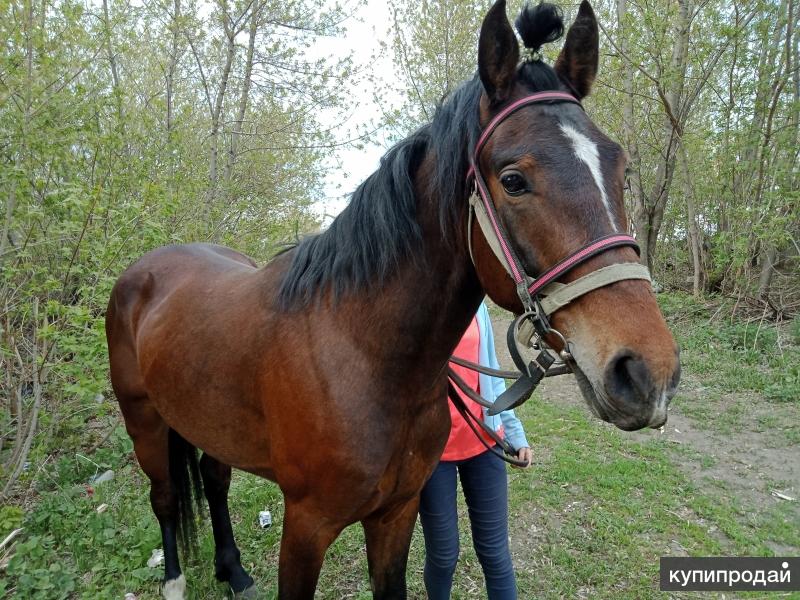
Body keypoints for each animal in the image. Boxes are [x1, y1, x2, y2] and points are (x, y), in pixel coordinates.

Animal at [106, 2, 680, 596]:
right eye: (513, 180)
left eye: (620, 168)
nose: (646, 372)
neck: (365, 356)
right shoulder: (306, 526)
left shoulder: (397, 514)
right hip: (144, 423)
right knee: (165, 497)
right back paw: (175, 579)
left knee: (214, 481)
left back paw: (233, 570)